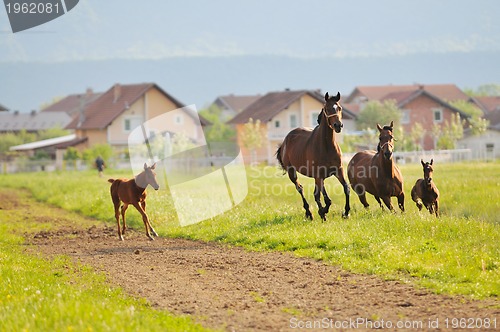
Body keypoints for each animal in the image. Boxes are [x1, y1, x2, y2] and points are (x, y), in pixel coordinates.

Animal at [276, 91, 350, 220]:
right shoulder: (318, 175)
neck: (326, 146)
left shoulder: (338, 171)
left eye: (339, 108)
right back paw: (309, 213)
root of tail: (285, 140)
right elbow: (324, 198)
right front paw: (322, 212)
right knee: (300, 188)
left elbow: (346, 188)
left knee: (318, 193)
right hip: (292, 172)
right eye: (327, 108)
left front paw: (345, 212)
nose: (338, 125)